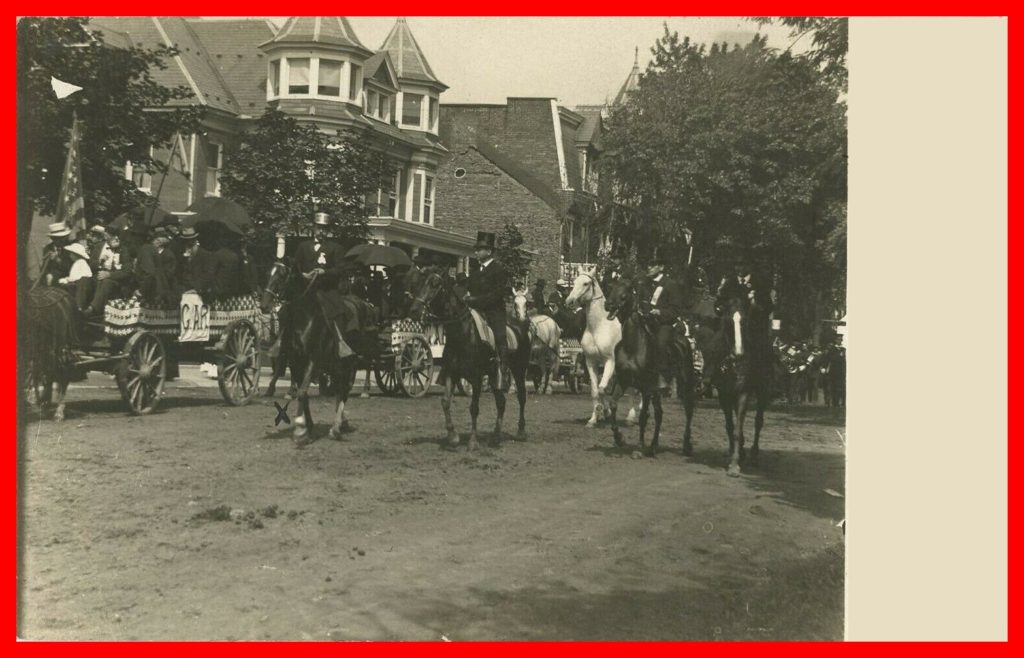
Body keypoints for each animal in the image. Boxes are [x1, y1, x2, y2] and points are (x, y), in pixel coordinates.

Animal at [259, 261, 357, 445]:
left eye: (281, 276)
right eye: (269, 274)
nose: (264, 305)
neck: (304, 320)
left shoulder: (312, 360)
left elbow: (303, 391)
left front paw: (300, 430)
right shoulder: (295, 362)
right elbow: (302, 393)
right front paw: (308, 427)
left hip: (347, 364)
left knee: (344, 390)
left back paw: (336, 429)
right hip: (333, 366)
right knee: (338, 390)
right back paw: (342, 424)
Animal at [407, 267, 530, 450]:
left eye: (435, 284)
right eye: (420, 283)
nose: (414, 310)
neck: (463, 332)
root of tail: (521, 325)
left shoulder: (476, 377)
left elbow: (474, 408)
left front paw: (473, 441)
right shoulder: (452, 372)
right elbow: (445, 402)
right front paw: (453, 436)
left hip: (519, 370)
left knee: (521, 396)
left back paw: (521, 432)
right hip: (494, 376)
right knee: (501, 402)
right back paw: (495, 436)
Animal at [564, 270, 639, 427]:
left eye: (586, 283)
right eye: (574, 282)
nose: (569, 302)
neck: (598, 328)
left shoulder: (610, 362)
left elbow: (602, 389)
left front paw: (605, 412)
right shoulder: (591, 363)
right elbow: (595, 390)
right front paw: (594, 418)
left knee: (633, 390)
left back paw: (631, 417)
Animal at [707, 294, 774, 476]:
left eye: (744, 322)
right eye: (728, 322)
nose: (738, 352)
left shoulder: (743, 392)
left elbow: (737, 429)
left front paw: (734, 464)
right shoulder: (724, 393)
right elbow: (731, 426)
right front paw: (734, 455)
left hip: (763, 389)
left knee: (758, 421)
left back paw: (754, 456)